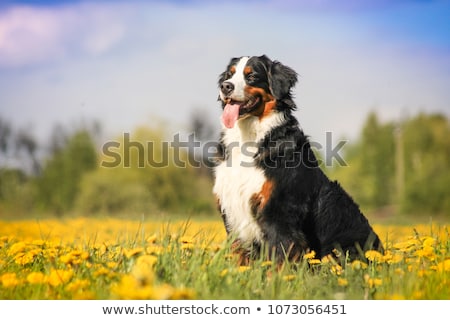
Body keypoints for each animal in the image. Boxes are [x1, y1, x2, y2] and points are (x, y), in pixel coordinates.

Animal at [213, 55, 382, 264]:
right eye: (230, 75)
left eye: (251, 76)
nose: (225, 86)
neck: (249, 137)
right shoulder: (232, 211)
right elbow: (238, 256)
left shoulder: (278, 213)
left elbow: (280, 258)